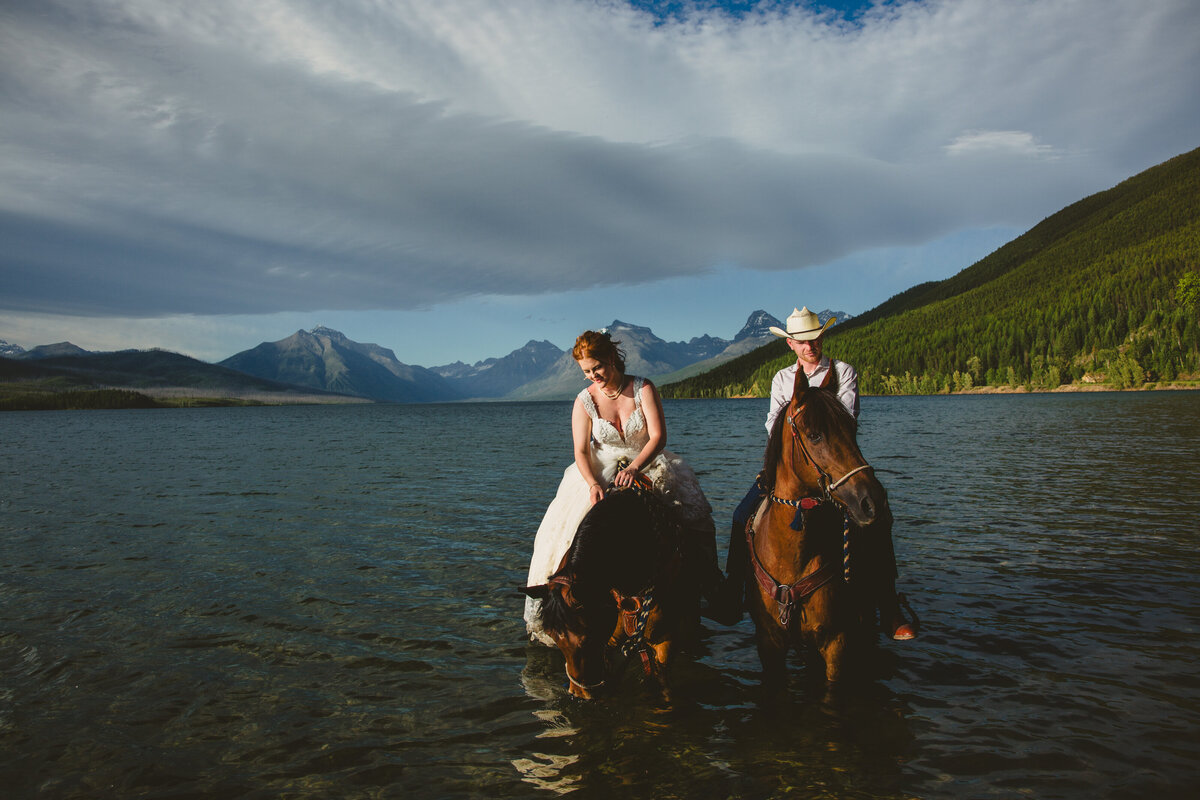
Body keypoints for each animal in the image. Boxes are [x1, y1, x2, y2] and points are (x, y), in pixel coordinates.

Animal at [520, 484, 700, 695]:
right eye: (553, 636)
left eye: (587, 639)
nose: (578, 692)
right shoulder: (610, 638)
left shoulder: (664, 641)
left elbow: (663, 686)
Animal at [744, 369, 897, 681]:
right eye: (814, 435)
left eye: (853, 429)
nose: (872, 501)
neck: (792, 556)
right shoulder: (769, 642)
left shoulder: (837, 642)